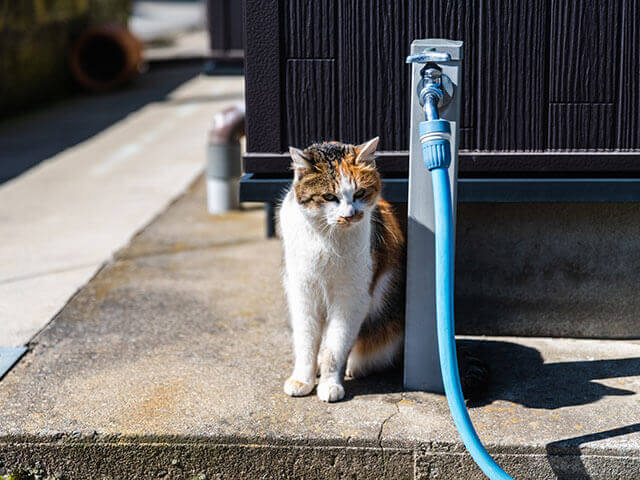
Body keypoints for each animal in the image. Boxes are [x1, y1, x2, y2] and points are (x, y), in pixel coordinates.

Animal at [276, 138, 402, 402]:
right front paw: (302, 379)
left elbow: (335, 348)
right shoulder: (303, 291)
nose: (349, 215)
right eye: (328, 196)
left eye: (360, 193)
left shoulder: (352, 298)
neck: (326, 237)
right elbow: (306, 341)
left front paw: (330, 384)